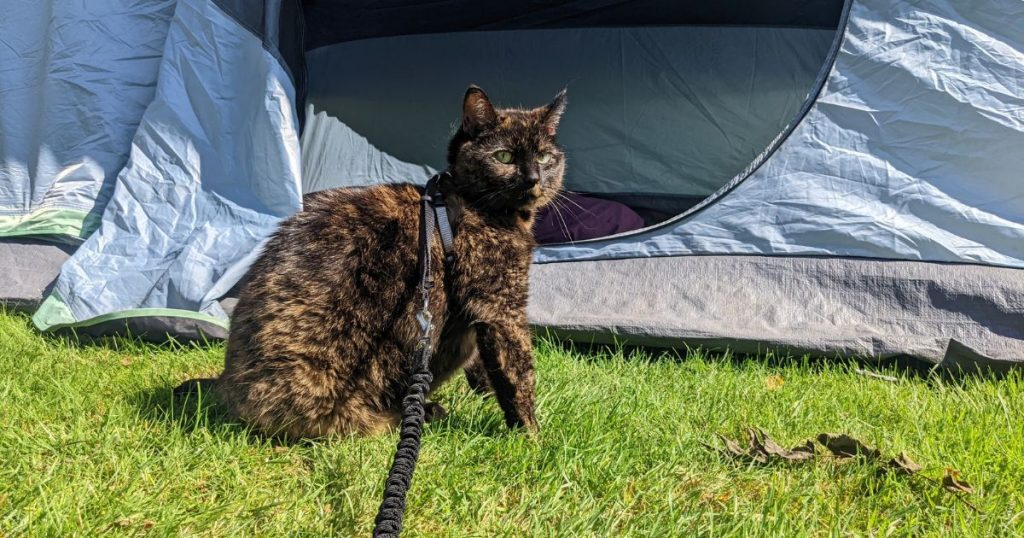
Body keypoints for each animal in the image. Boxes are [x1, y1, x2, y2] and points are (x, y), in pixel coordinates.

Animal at [172, 84, 565, 436]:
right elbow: (516, 371)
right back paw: (422, 414)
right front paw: (532, 438)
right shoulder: (499, 307)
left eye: (545, 157)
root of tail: (227, 386)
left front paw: (484, 393)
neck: (472, 205)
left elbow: (487, 365)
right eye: (504, 157)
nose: (533, 178)